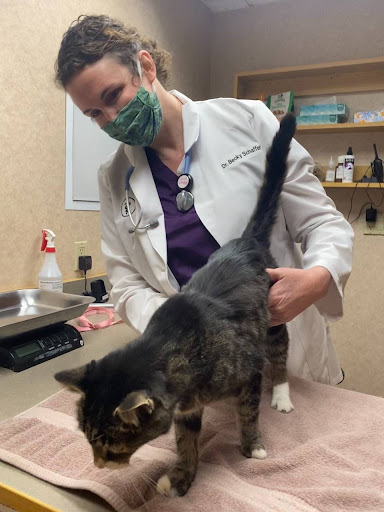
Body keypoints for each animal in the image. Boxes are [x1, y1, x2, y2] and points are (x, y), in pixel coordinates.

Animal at [54, 112, 296, 496]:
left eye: (111, 444)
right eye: (88, 439)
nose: (97, 463)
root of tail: (246, 242)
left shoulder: (249, 371)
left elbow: (247, 412)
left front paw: (252, 446)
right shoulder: (186, 407)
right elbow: (187, 441)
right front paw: (182, 477)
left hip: (275, 310)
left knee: (280, 351)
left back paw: (282, 397)